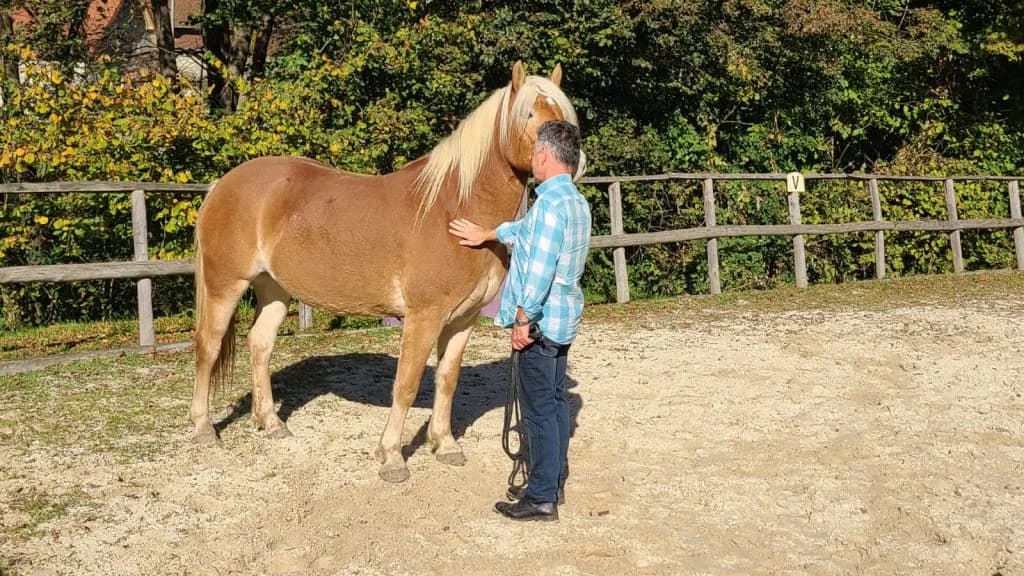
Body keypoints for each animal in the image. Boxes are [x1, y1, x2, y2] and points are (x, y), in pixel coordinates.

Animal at [190, 61, 580, 483]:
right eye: (529, 114)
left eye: (562, 112)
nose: (571, 153)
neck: (452, 208)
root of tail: (223, 184)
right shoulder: (424, 317)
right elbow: (407, 384)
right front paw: (392, 457)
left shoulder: (463, 320)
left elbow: (447, 381)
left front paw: (445, 445)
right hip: (225, 284)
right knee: (208, 346)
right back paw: (203, 428)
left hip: (274, 289)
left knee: (259, 344)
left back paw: (271, 422)